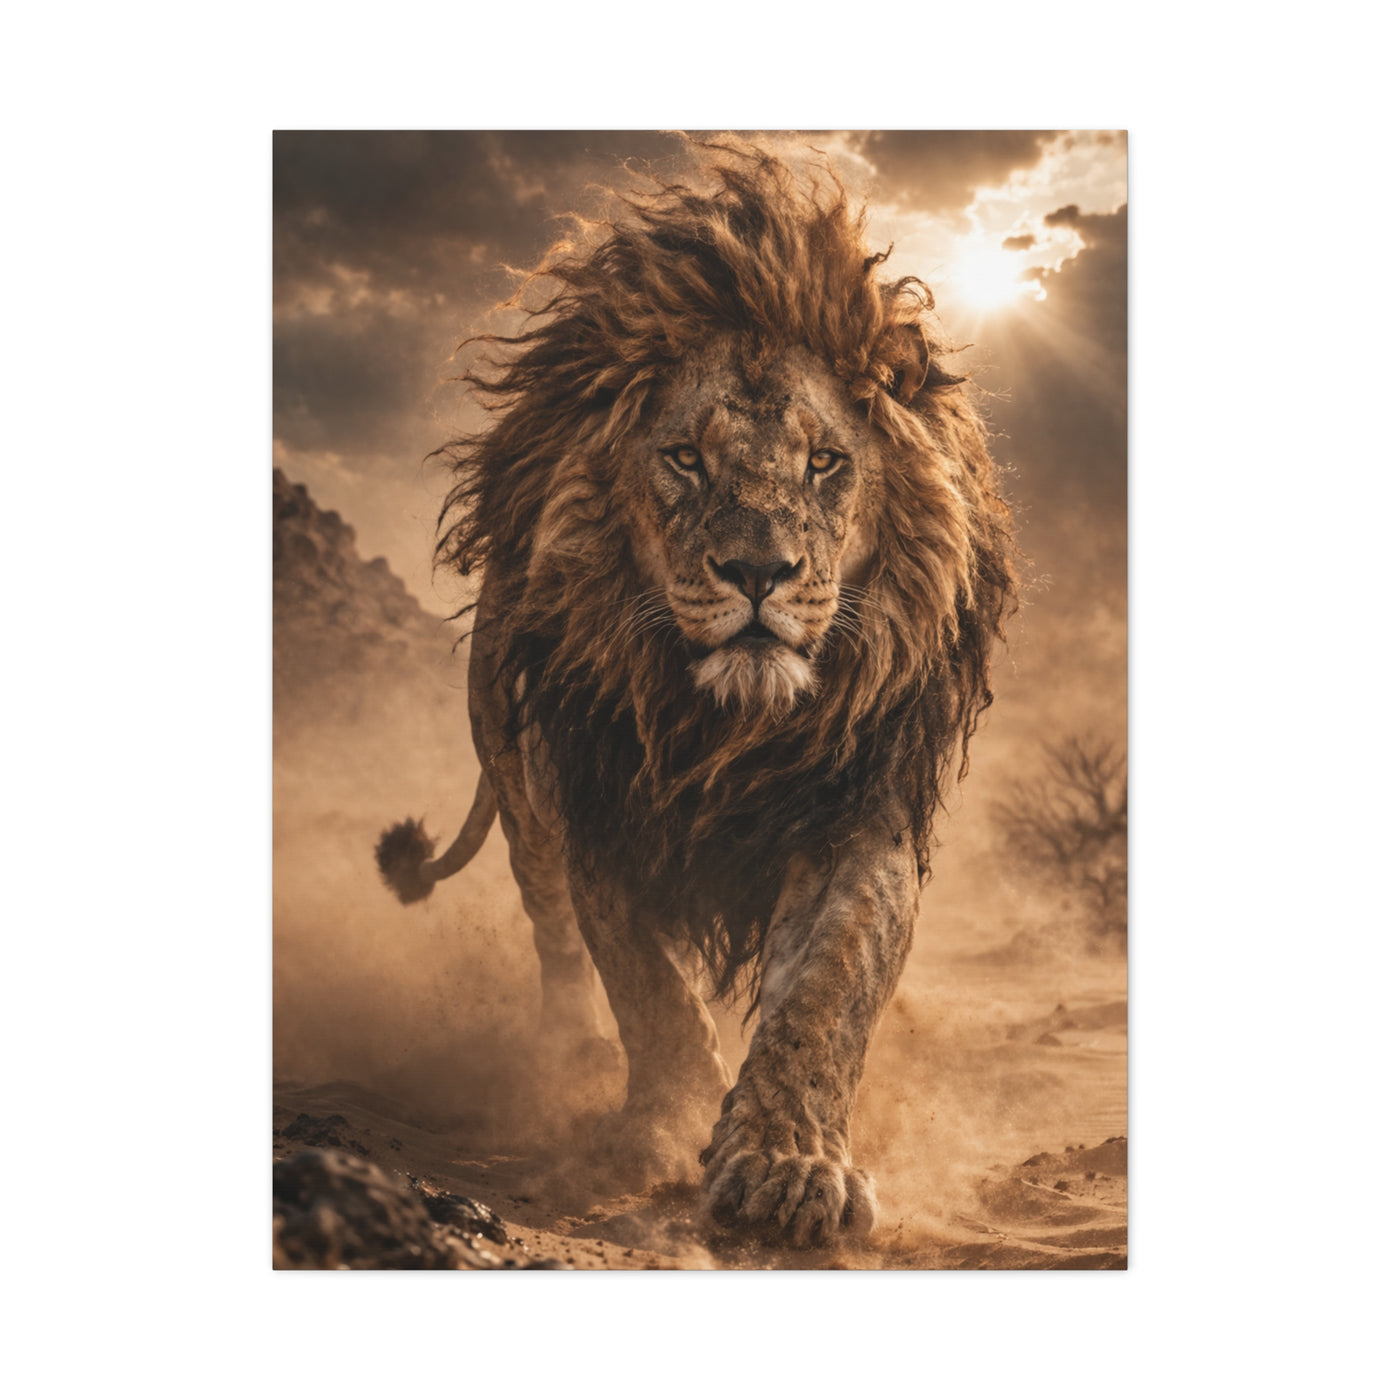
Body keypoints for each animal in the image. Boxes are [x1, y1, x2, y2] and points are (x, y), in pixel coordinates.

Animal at [376, 143, 1016, 1247]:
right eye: (684, 458)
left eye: (823, 462)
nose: (756, 570)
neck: (731, 728)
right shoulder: (600, 813)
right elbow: (649, 989)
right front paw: (667, 1127)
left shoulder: (862, 813)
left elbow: (824, 992)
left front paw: (786, 1167)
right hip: (522, 794)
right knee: (553, 941)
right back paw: (570, 1056)